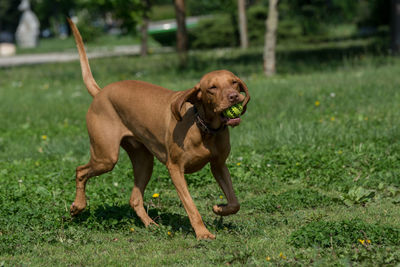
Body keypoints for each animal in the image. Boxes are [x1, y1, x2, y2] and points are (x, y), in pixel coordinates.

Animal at [68, 19, 250, 241]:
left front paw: (220, 209)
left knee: (135, 199)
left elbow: (235, 202)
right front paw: (203, 233)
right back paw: (77, 206)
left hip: (144, 161)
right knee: (80, 171)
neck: (204, 129)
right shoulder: (176, 169)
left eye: (234, 82)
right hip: (106, 157)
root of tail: (100, 92)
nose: (234, 97)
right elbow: (191, 206)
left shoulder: (219, 165)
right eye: (212, 88)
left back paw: (151, 225)